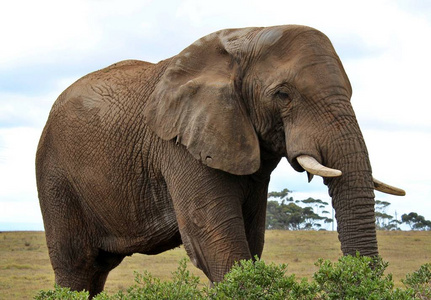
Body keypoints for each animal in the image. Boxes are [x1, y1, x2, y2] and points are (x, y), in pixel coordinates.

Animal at [36, 24, 404, 296]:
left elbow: (251, 239)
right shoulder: (179, 145)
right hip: (55, 175)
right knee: (76, 268)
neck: (247, 37)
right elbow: (215, 238)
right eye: (283, 94)